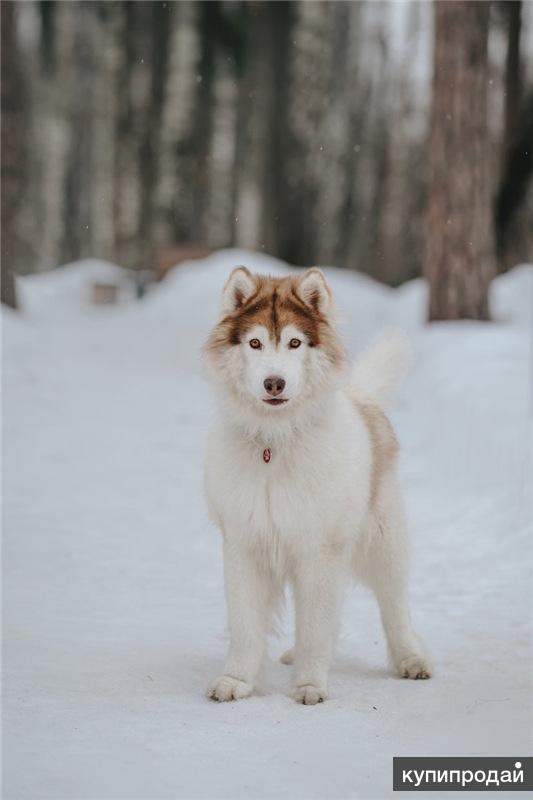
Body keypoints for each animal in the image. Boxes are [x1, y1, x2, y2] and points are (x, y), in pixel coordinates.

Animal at [202, 268, 430, 708]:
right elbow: (245, 624)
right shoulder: (244, 546)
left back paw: (411, 659)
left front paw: (309, 685)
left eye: (294, 342)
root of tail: (363, 399)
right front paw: (236, 680)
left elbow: (315, 626)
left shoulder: (319, 551)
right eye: (255, 342)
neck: (275, 443)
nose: (274, 383)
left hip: (384, 546)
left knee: (395, 608)